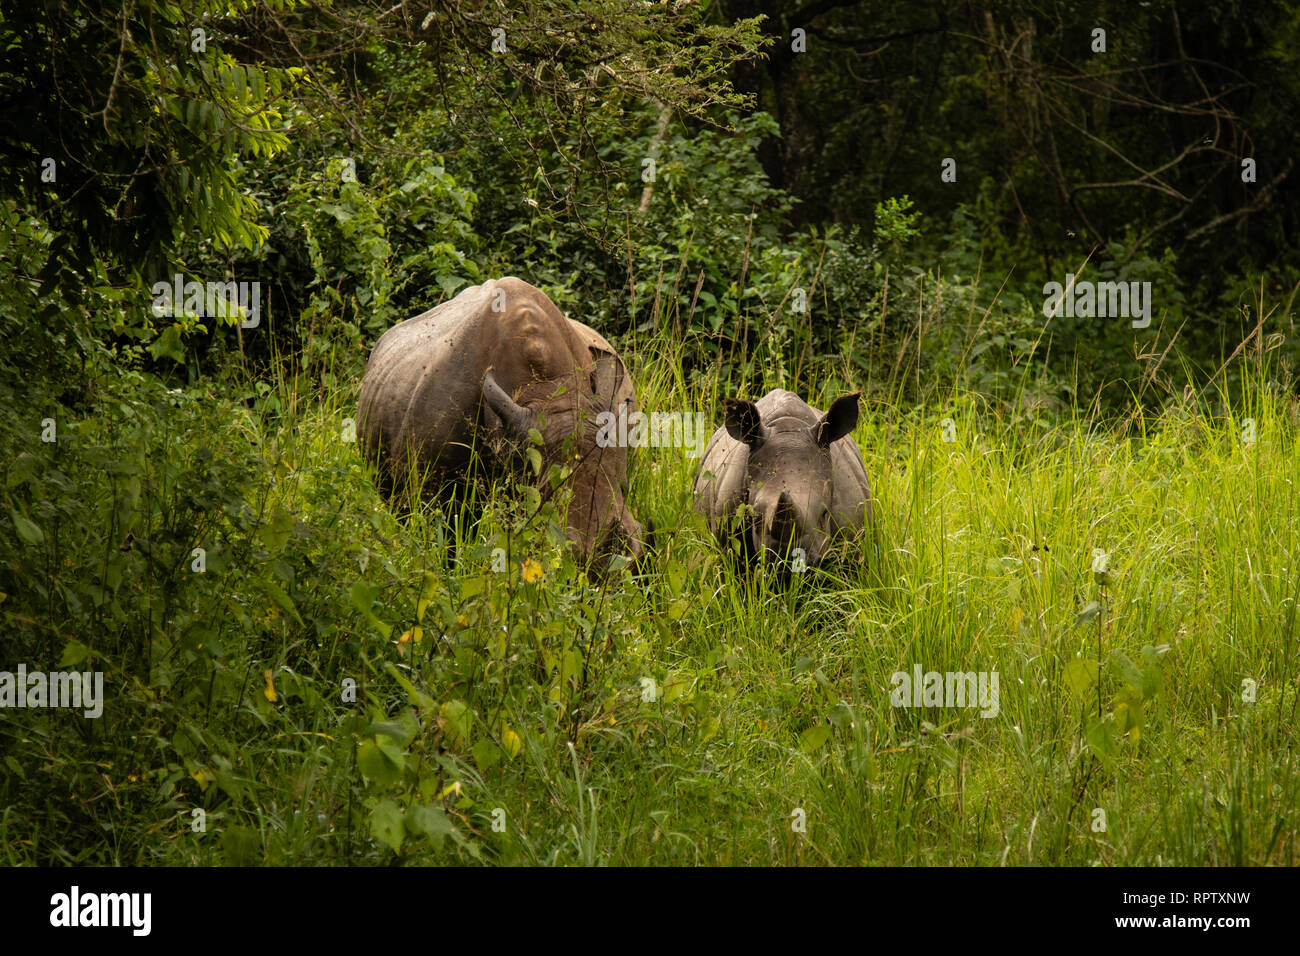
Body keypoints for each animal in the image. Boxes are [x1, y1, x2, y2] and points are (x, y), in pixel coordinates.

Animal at [356, 273, 644, 564]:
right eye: (540, 496)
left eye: (624, 486)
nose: (596, 567)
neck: (546, 391)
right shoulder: (431, 483)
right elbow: (444, 535)